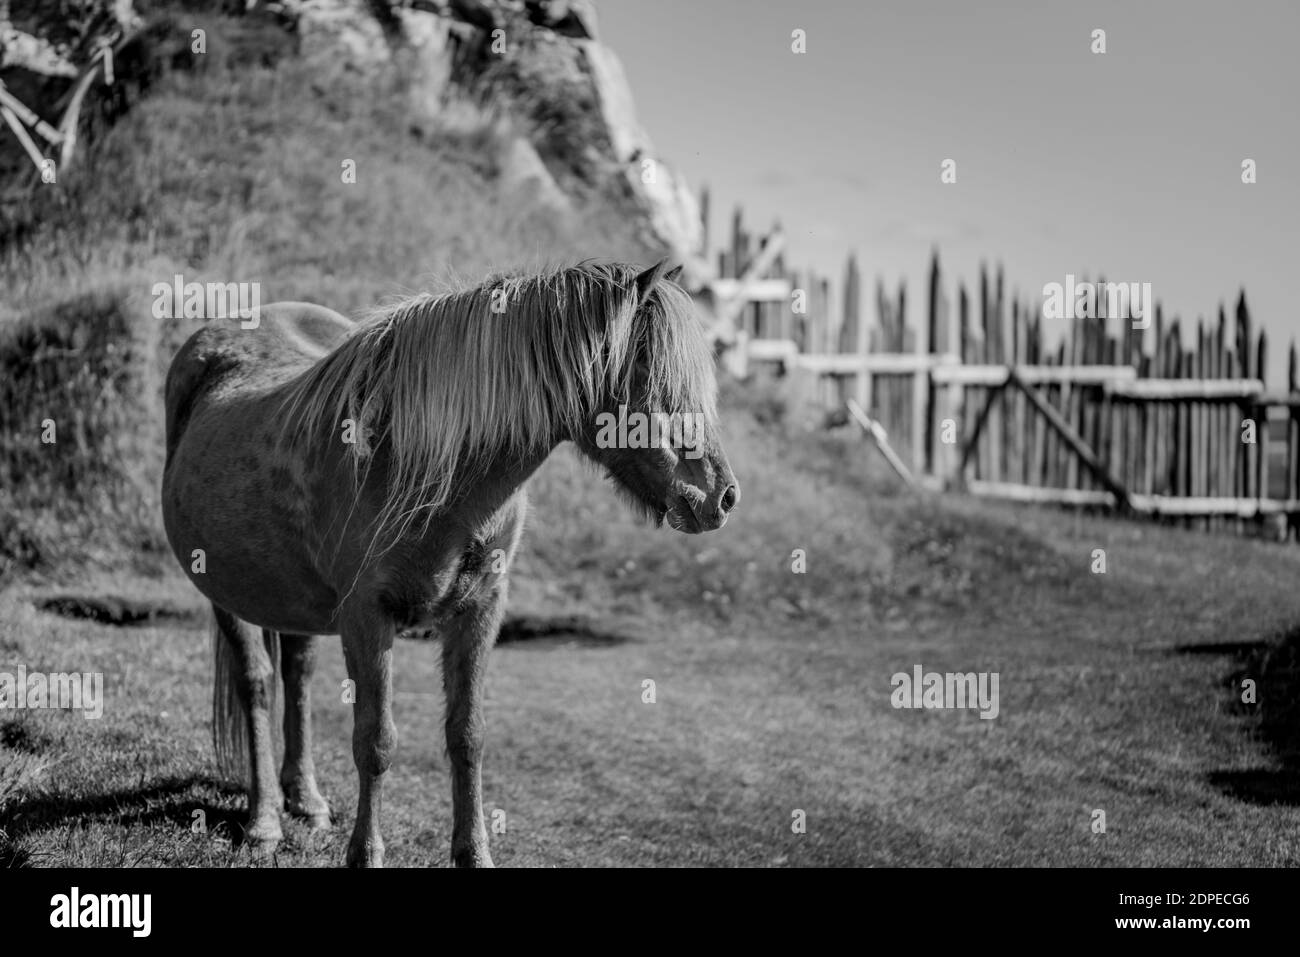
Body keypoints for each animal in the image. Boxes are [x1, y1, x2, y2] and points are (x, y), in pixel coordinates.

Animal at [160, 260, 739, 867]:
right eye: (647, 366)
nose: (721, 496)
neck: (423, 465)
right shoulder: (367, 617)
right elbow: (375, 741)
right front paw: (365, 854)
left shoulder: (479, 612)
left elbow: (468, 736)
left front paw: (475, 853)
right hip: (226, 594)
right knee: (256, 686)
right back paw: (265, 822)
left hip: (295, 602)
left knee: (297, 677)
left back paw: (308, 802)